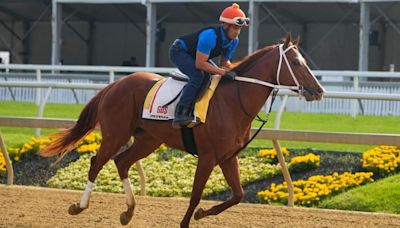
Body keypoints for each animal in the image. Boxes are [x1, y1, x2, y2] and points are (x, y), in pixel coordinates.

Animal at [40, 33, 324, 227]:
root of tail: (116, 84)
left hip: (148, 140)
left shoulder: (228, 157)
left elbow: (238, 195)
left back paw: (128, 212)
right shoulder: (208, 157)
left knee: (121, 162)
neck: (233, 101)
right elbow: (196, 194)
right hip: (115, 133)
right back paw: (79, 206)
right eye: (296, 62)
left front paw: (202, 214)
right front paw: (189, 219)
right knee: (97, 162)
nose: (319, 90)